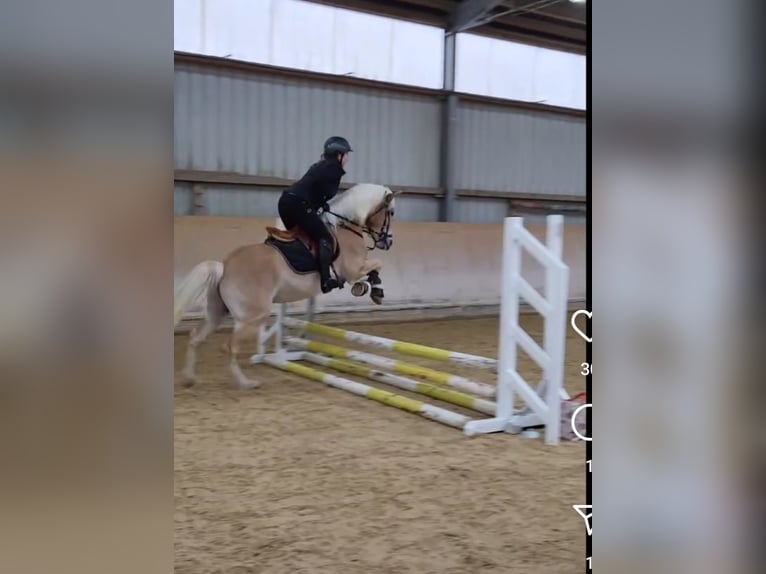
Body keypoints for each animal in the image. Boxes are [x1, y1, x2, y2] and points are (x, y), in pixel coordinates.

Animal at [175, 184, 402, 392]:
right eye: (390, 212)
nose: (389, 242)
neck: (345, 225)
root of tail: (225, 268)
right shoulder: (353, 270)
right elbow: (376, 266)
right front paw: (372, 290)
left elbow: (375, 266)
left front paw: (370, 289)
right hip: (253, 317)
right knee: (229, 346)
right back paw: (246, 383)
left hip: (218, 315)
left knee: (196, 338)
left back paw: (189, 379)